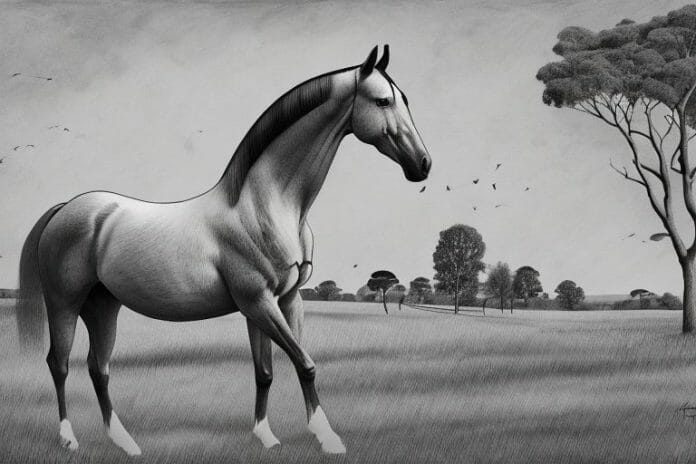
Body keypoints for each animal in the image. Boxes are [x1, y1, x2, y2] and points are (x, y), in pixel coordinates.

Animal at [15, 45, 431, 456]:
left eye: (406, 100)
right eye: (382, 101)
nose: (423, 165)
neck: (265, 206)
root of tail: (67, 208)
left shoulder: (283, 301)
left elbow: (267, 372)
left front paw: (266, 435)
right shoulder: (258, 301)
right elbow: (305, 363)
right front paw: (328, 439)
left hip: (103, 306)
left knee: (98, 368)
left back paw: (125, 442)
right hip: (64, 303)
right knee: (60, 364)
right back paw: (69, 439)